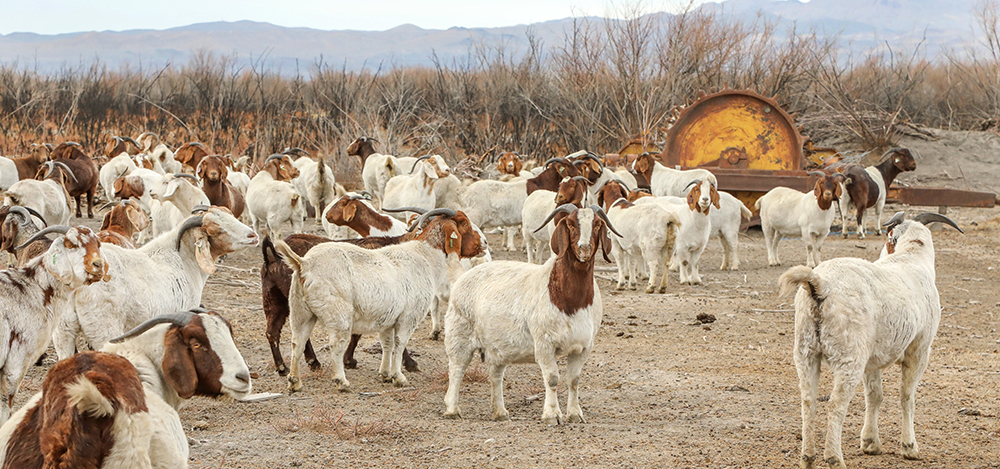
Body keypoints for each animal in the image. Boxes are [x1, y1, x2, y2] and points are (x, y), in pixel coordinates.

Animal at [0, 225, 107, 423]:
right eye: (71, 245)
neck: (32, 287)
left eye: (97, 243)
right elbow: (5, 403)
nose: (98, 265)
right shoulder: (16, 360)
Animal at [51, 207, 258, 359]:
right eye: (216, 229)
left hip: (62, 331)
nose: (253, 236)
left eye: (231, 216)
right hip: (104, 331)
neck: (181, 258)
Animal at [273, 208, 486, 392]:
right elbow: (400, 344)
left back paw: (294, 382)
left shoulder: (389, 319)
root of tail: (305, 264)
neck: (424, 255)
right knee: (335, 345)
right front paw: (399, 377)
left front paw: (385, 374)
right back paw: (341, 381)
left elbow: (387, 344)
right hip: (338, 315)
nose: (484, 242)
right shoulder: (409, 317)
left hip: (301, 312)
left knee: (297, 342)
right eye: (464, 223)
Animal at [443, 204, 619, 424]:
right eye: (570, 224)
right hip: (459, 334)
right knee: (456, 368)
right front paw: (552, 415)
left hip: (496, 345)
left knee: (495, 374)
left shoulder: (583, 346)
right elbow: (552, 379)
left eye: (597, 225)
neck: (569, 300)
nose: (584, 249)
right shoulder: (544, 343)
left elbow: (574, 380)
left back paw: (500, 412)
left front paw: (575, 414)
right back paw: (452, 409)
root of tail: (461, 277)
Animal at [778, 212, 961, 468]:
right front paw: (909, 447)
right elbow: (907, 396)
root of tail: (820, 285)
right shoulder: (919, 350)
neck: (911, 257)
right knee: (835, 404)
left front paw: (870, 442)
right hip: (849, 355)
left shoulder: (872, 358)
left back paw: (808, 458)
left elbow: (875, 396)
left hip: (806, 351)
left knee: (808, 401)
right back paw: (834, 458)